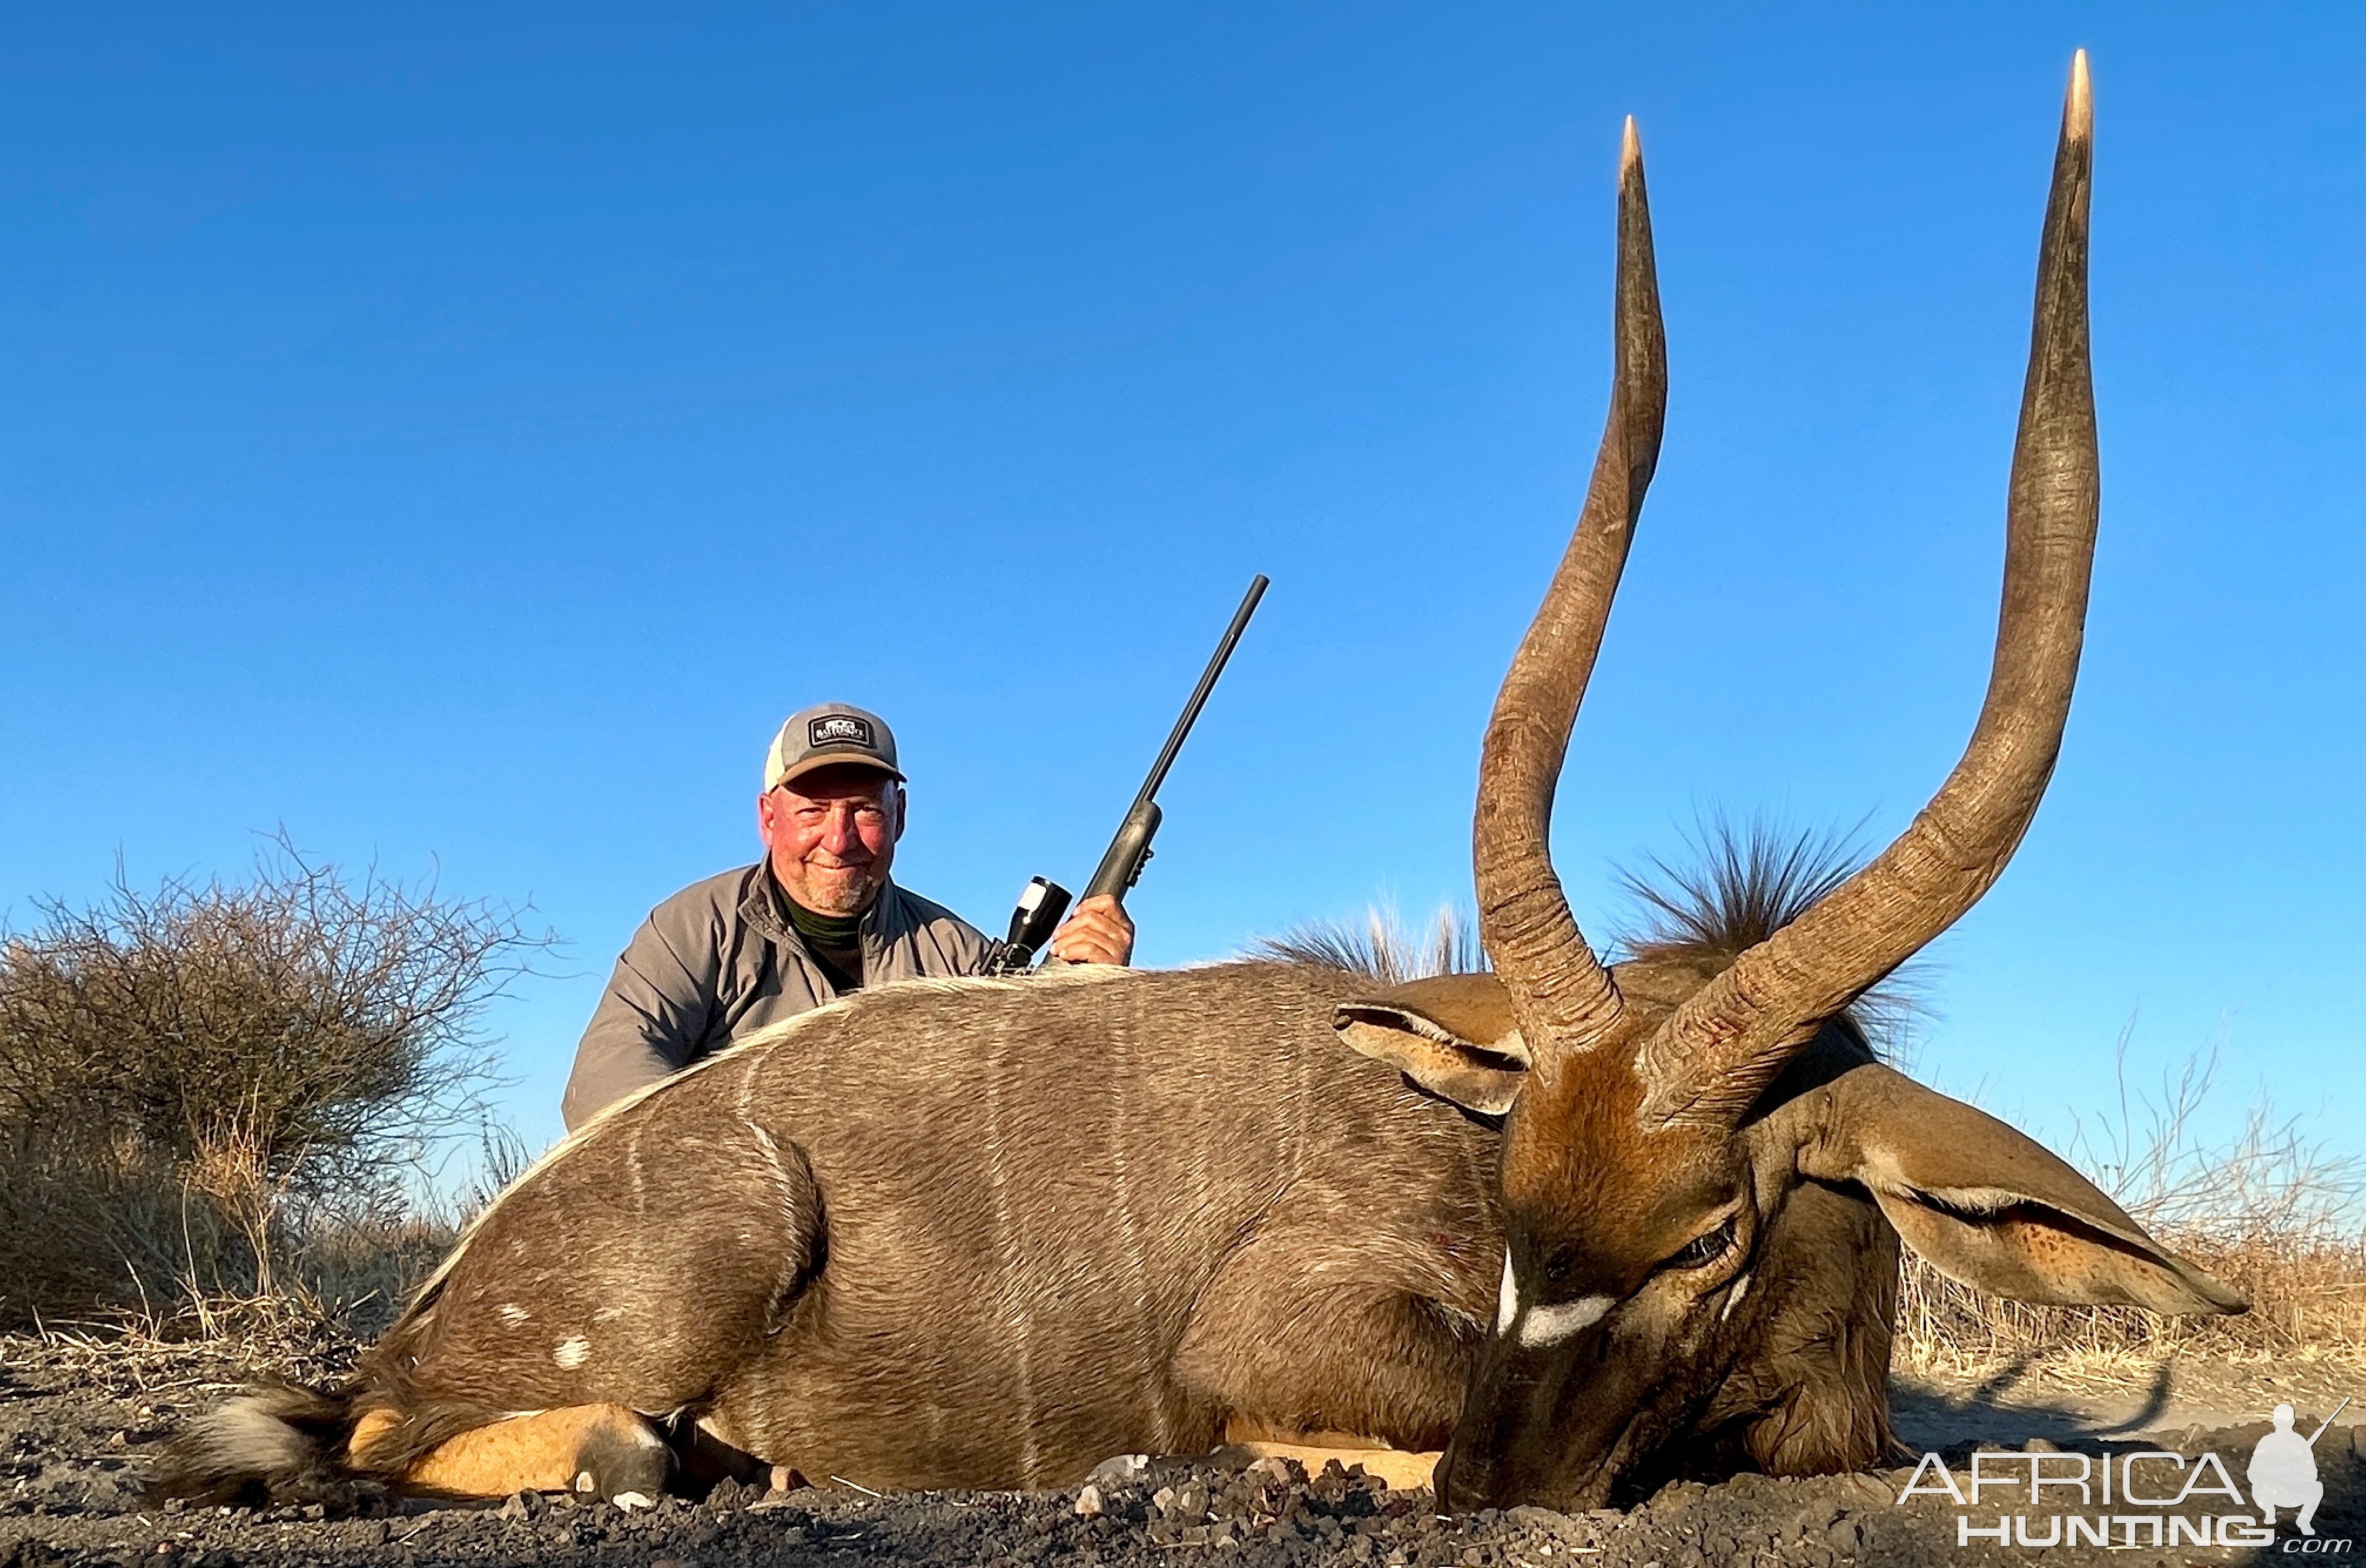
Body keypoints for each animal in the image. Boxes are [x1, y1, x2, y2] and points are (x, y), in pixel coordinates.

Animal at [162, 52, 2233, 1523]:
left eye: (1712, 1226)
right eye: (1511, 1187)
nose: (1496, 1484)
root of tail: (442, 1294)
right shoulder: (1292, 1323)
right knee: (494, 1444)